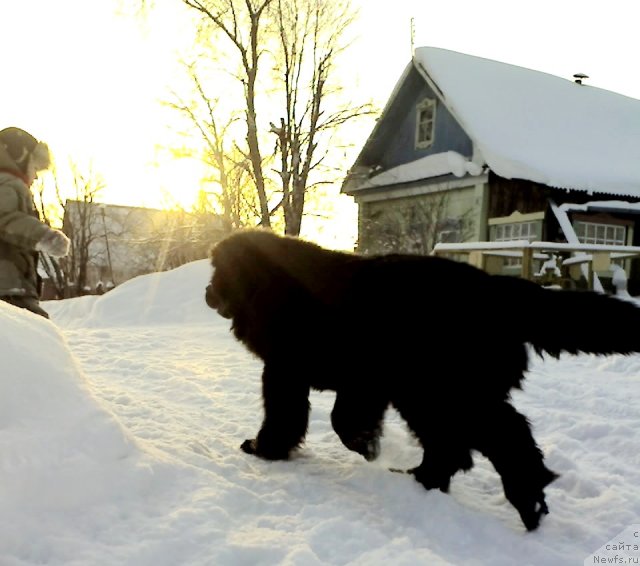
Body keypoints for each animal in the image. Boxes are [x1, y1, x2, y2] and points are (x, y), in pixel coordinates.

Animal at [204, 230, 640, 532]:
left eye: (219, 270)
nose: (207, 290)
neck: (275, 286)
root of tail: (499, 289)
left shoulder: (287, 371)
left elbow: (288, 415)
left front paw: (265, 448)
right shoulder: (363, 384)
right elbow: (344, 420)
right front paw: (368, 445)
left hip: (441, 392)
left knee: (499, 436)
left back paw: (523, 498)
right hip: (431, 394)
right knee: (463, 444)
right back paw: (429, 480)